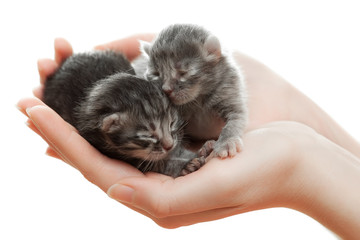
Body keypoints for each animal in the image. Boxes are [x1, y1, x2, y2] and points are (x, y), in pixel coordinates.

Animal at [43, 50, 210, 177]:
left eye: (172, 123)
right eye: (148, 135)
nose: (169, 146)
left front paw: (200, 151)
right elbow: (158, 164)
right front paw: (185, 165)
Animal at [135, 24, 248, 158]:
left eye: (183, 73)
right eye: (156, 74)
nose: (166, 90)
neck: (198, 99)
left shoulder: (229, 91)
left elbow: (235, 121)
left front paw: (227, 142)